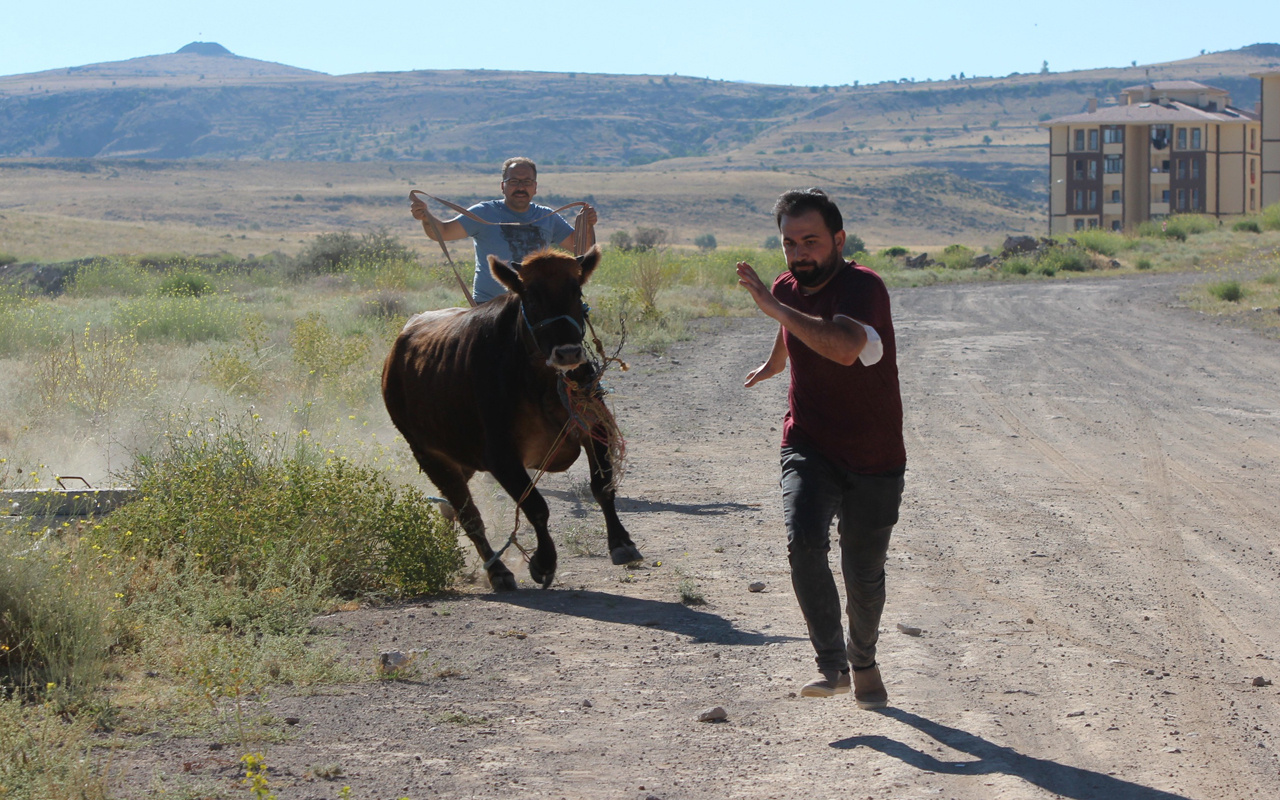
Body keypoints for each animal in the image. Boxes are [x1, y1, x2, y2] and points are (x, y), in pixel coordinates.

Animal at [378, 247, 640, 588]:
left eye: (577, 291)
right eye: (530, 296)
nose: (568, 353)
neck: (541, 380)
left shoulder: (594, 429)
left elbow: (603, 487)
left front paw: (622, 543)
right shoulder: (500, 456)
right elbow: (536, 507)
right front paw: (544, 562)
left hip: (461, 457)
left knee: (450, 507)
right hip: (429, 453)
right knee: (468, 514)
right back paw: (497, 570)